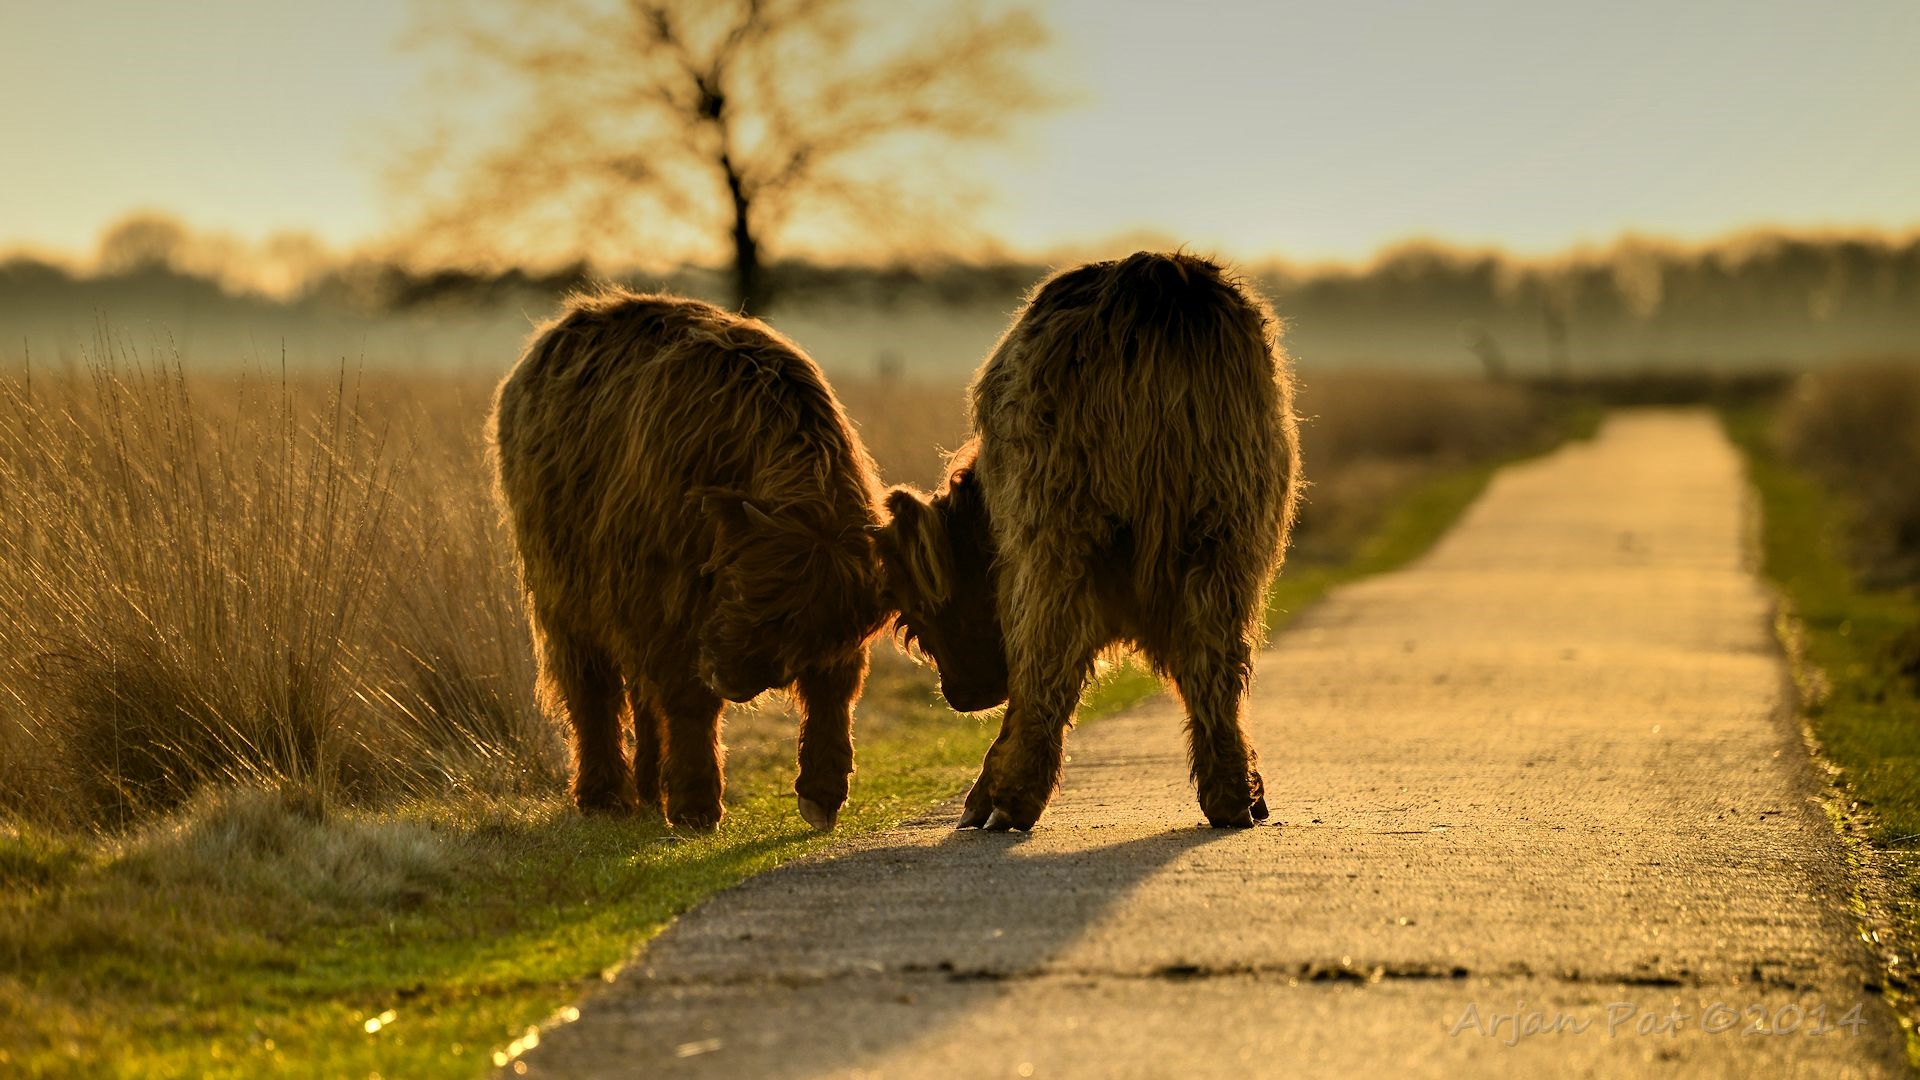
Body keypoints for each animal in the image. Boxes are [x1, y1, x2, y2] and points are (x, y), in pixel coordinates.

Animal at [489, 288, 889, 831]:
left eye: (797, 627)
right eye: (740, 588)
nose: (732, 679)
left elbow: (834, 690)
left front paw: (822, 792)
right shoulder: (661, 594)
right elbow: (687, 697)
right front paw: (695, 804)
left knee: (639, 692)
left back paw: (648, 786)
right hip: (564, 586)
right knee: (592, 687)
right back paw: (604, 796)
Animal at [877, 252, 1301, 831]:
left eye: (920, 614)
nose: (958, 693)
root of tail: (1158, 279)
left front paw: (982, 796)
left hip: (1057, 530)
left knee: (1046, 651)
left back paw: (1009, 801)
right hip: (1227, 529)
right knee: (1215, 661)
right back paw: (1235, 797)